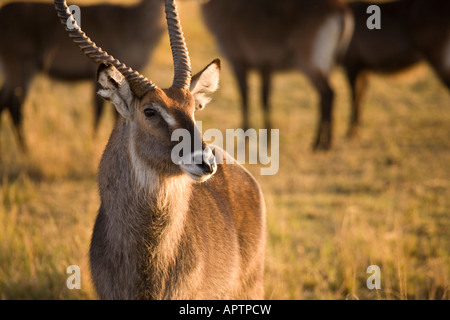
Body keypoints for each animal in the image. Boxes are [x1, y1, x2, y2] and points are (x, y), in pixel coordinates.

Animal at [0, 0, 164, 151]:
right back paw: (25, 149)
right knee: (14, 103)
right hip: (19, 65)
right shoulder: (97, 76)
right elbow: (99, 110)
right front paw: (94, 142)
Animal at [202, 0, 354, 150]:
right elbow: (265, 98)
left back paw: (322, 144)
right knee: (324, 97)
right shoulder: (265, 68)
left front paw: (244, 140)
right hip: (327, 65)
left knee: (328, 93)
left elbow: (245, 97)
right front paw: (267, 139)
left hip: (310, 63)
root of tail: (340, 9)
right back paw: (320, 142)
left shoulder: (238, 63)